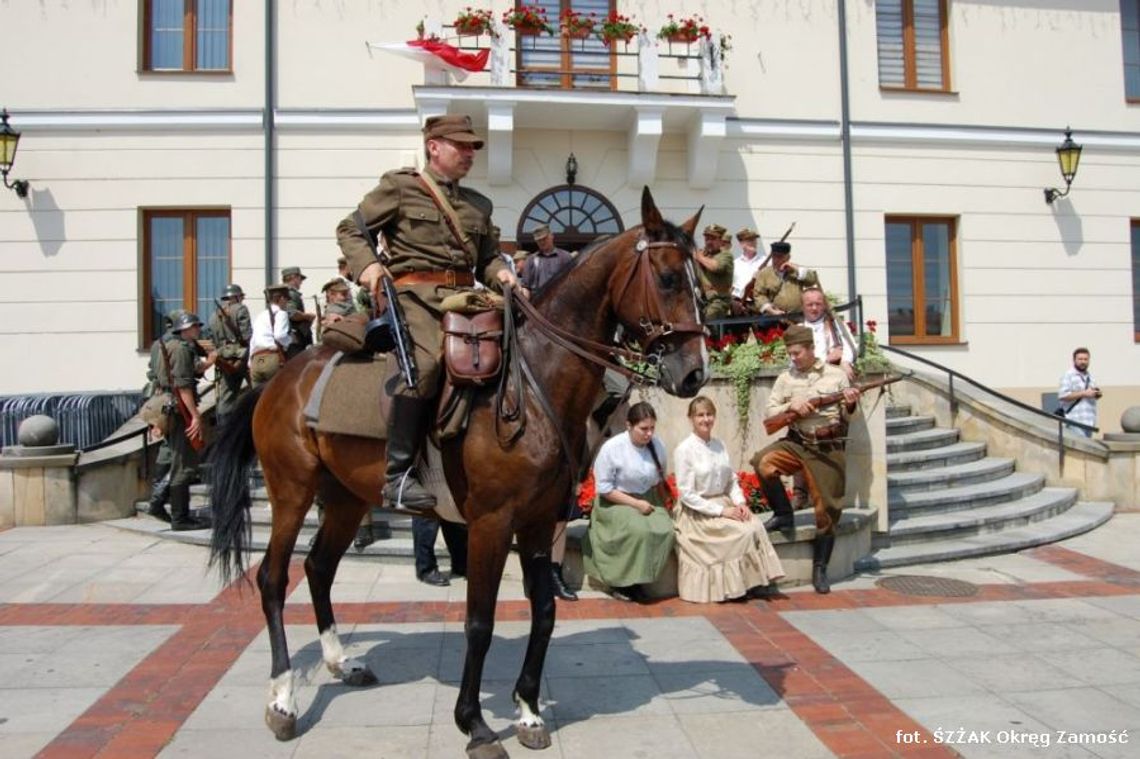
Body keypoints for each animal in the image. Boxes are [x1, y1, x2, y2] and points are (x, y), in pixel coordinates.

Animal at [205, 184, 702, 756]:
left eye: (700, 279)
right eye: (668, 277)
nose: (695, 373)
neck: (534, 383)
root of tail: (280, 379)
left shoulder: (538, 521)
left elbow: (545, 612)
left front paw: (529, 710)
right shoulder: (491, 524)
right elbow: (479, 621)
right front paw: (476, 724)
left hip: (347, 499)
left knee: (319, 568)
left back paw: (340, 661)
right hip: (291, 492)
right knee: (272, 577)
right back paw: (283, 699)